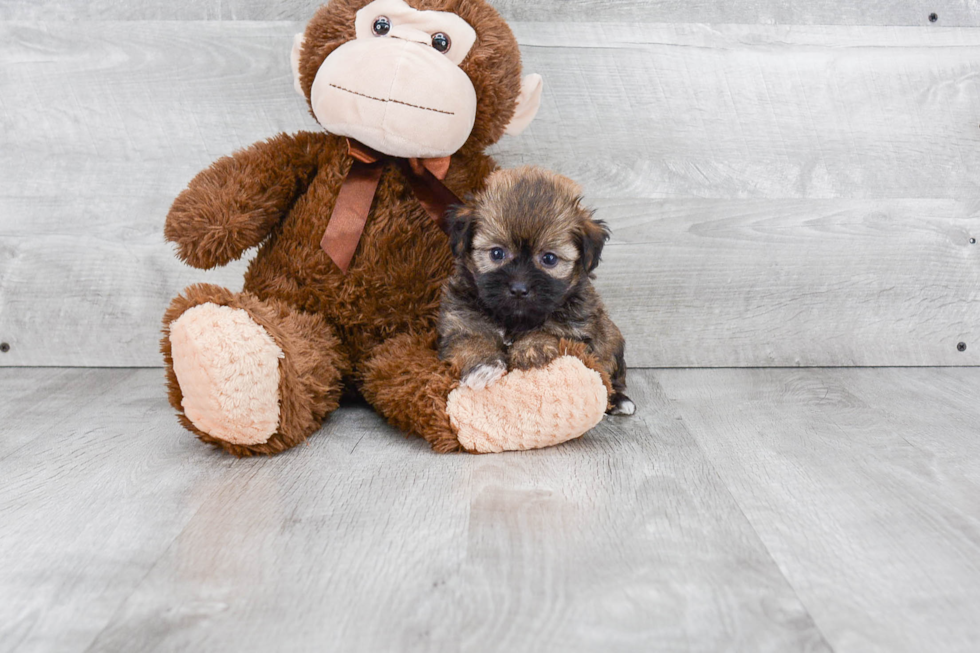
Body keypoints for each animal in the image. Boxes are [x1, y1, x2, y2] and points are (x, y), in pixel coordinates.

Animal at [438, 166, 636, 416]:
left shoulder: (578, 328)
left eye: (549, 258)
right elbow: (469, 340)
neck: (513, 319)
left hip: (612, 338)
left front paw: (531, 348)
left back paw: (619, 400)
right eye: (497, 253)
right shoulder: (461, 321)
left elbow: (550, 330)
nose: (519, 289)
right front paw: (483, 365)